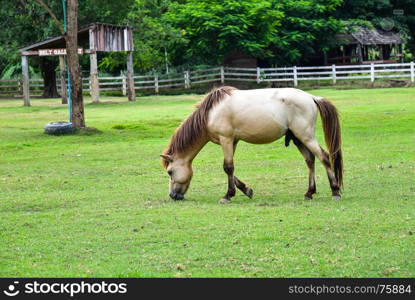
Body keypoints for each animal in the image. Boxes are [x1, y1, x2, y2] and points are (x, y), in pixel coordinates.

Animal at [161, 86, 342, 204]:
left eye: (170, 172)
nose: (172, 196)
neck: (210, 113)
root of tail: (312, 98)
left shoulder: (226, 139)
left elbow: (227, 168)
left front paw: (228, 195)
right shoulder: (232, 141)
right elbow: (231, 169)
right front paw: (246, 190)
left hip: (306, 136)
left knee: (324, 157)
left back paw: (335, 191)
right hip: (298, 138)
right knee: (310, 160)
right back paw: (309, 193)